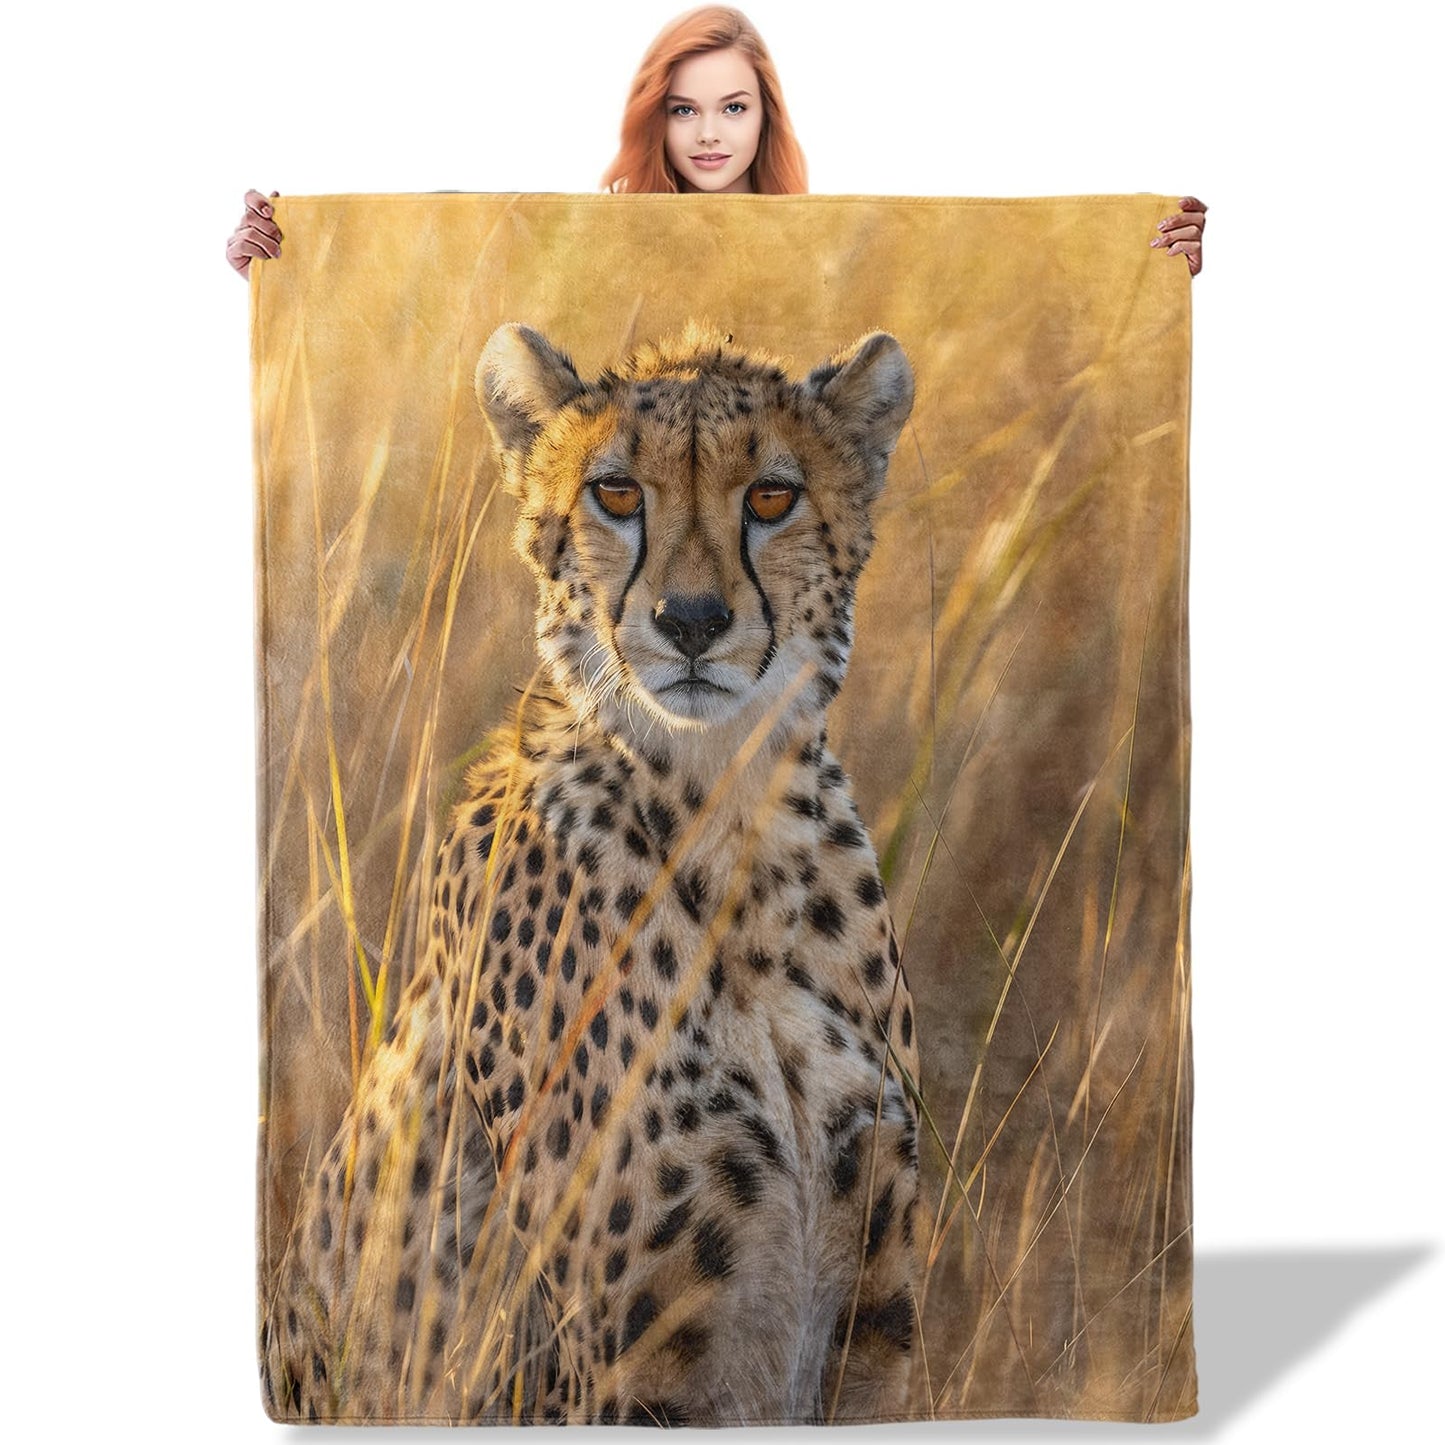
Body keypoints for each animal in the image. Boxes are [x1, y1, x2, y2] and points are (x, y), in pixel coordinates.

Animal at [261, 320, 923, 1425]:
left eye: (770, 496)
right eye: (615, 492)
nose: (690, 619)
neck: (728, 825)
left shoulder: (874, 1330)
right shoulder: (625, 1366)